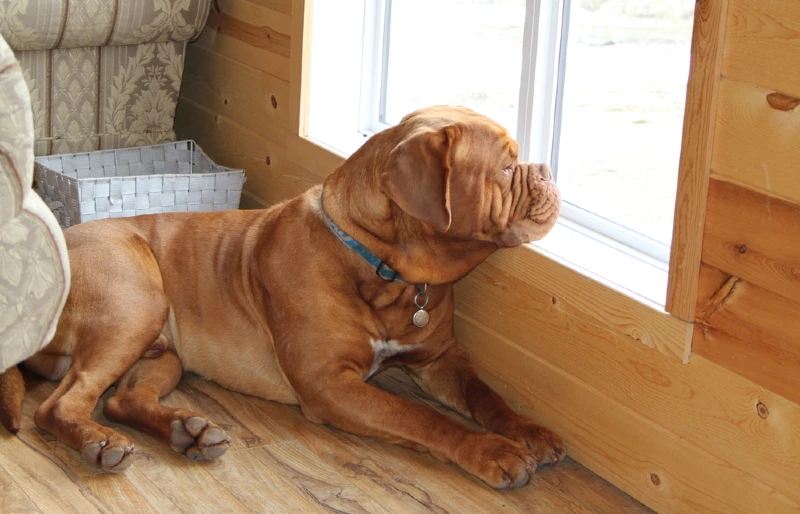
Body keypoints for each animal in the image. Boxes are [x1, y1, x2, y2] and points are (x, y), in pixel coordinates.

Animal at [0, 105, 564, 488]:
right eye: (506, 169)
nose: (548, 170)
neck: (386, 271)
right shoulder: (329, 383)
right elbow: (420, 416)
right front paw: (492, 451)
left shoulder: (441, 358)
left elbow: (484, 395)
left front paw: (528, 431)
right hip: (133, 306)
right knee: (59, 405)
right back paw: (101, 444)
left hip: (162, 353)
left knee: (121, 399)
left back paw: (189, 431)